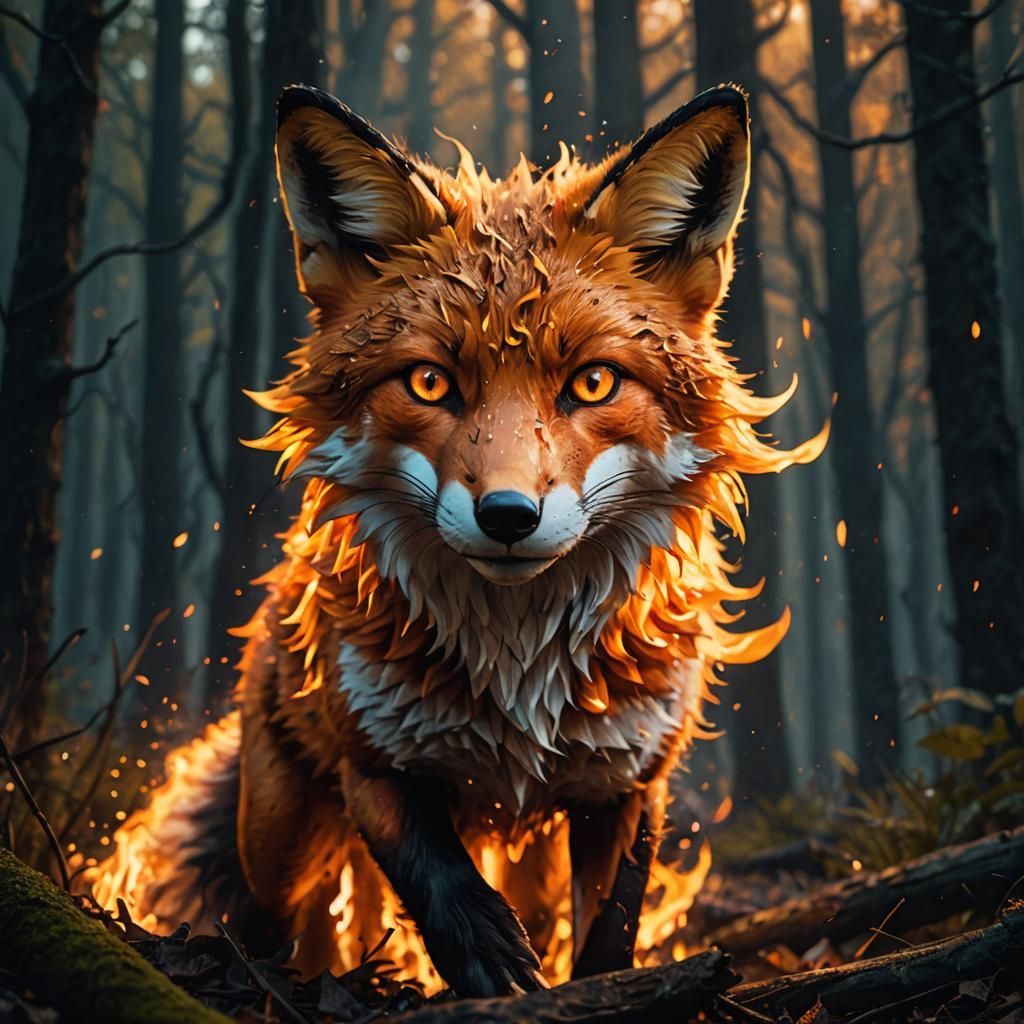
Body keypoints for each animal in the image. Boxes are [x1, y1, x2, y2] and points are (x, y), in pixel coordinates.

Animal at [88, 83, 826, 997]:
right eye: (431, 382)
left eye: (593, 382)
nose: (507, 514)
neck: (518, 672)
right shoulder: (377, 764)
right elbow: (441, 891)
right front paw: (492, 974)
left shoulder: (622, 785)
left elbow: (606, 940)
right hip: (281, 839)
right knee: (294, 915)